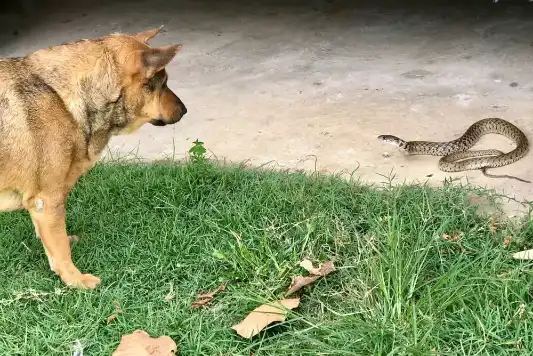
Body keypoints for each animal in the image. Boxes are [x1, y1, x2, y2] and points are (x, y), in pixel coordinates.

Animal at [0, 27, 187, 290]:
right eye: (164, 83)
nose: (185, 110)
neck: (61, 97)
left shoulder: (41, 206)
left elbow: (52, 241)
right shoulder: (47, 200)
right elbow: (61, 249)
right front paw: (74, 279)